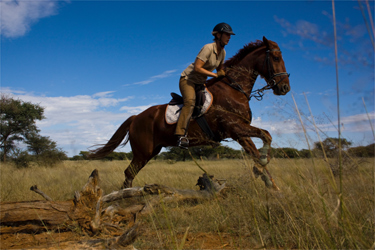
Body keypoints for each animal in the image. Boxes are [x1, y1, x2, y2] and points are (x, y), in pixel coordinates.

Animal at [89, 36, 292, 189]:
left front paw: (271, 184)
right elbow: (266, 135)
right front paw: (265, 165)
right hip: (143, 152)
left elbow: (258, 150)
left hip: (151, 151)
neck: (234, 89)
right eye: (276, 58)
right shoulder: (235, 127)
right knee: (129, 173)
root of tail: (135, 118)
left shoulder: (240, 132)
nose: (284, 88)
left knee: (130, 173)